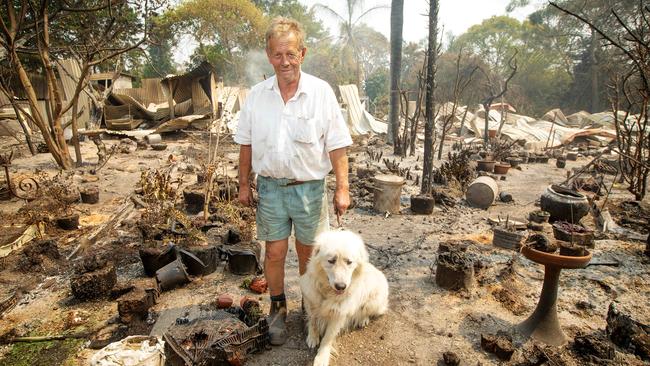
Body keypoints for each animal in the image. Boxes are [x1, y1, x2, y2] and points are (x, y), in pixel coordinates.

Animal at [298, 230, 384, 364]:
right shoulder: (311, 301)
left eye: (349, 262)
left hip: (374, 302)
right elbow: (312, 321)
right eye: (331, 261)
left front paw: (321, 358)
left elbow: (327, 338)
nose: (341, 286)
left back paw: (363, 319)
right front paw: (312, 337)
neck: (327, 292)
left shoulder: (339, 314)